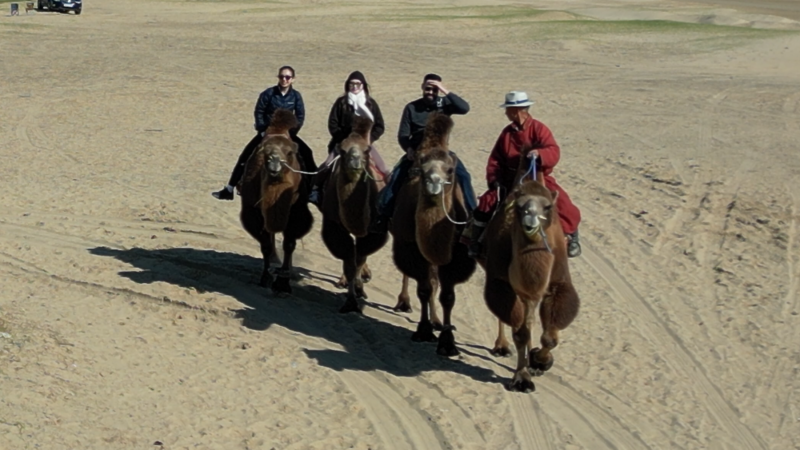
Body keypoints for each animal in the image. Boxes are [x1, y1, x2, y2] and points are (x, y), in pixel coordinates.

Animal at [238, 107, 312, 294]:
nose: (274, 162)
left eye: (290, 152)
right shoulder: (253, 211)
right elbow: (266, 244)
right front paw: (266, 278)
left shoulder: (297, 212)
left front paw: (283, 283)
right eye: (264, 151)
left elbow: (289, 244)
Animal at [322, 116, 390, 312]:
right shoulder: (333, 224)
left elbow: (359, 258)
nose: (354, 161)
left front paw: (358, 290)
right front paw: (350, 301)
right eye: (342, 149)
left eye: (367, 149)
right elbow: (349, 262)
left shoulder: (375, 231)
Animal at [392, 111, 476, 356]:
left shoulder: (457, 256)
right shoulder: (411, 248)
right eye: (421, 169)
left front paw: (447, 342)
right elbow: (424, 288)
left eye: (449, 170)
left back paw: (437, 321)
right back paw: (406, 304)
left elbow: (447, 296)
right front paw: (423, 331)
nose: (433, 182)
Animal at [476, 156, 580, 394]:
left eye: (547, 206)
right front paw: (522, 378)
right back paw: (501, 346)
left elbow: (549, 336)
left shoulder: (557, 282)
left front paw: (540, 362)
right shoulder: (501, 281)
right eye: (519, 206)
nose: (531, 219)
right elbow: (520, 331)